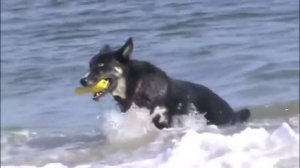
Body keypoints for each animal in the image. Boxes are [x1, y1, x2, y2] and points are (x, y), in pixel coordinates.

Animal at [78, 37, 250, 129]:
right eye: (90, 65)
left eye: (101, 66)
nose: (82, 80)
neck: (137, 86)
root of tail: (231, 111)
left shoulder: (164, 120)